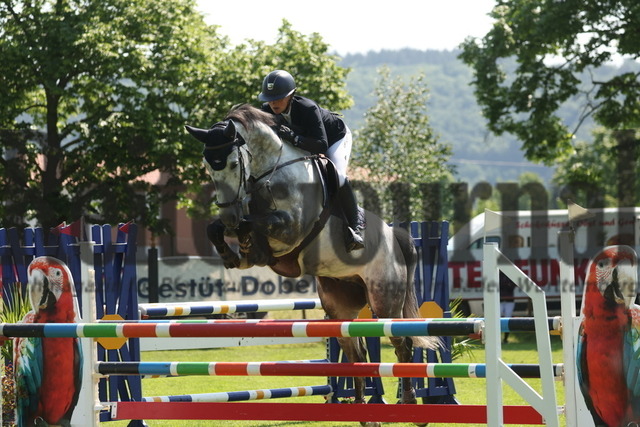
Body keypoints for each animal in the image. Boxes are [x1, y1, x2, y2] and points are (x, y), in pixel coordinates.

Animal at [186, 104, 440, 424]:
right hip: (340, 305)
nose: (229, 215)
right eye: (208, 167)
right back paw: (365, 413)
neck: (270, 172)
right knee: (356, 353)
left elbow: (256, 224)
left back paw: (411, 406)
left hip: (385, 300)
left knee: (402, 345)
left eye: (233, 163)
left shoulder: (291, 229)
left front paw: (243, 241)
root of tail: (395, 236)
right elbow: (216, 229)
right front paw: (233, 252)